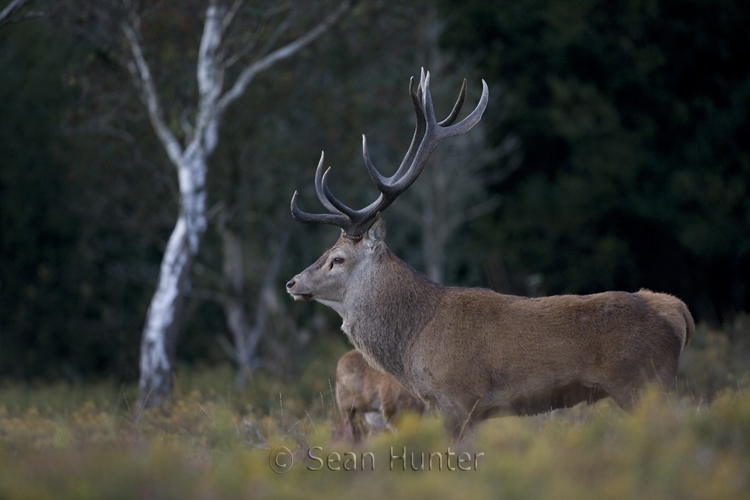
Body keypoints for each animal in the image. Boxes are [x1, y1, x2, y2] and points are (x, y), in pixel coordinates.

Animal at [285, 70, 695, 437]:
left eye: (337, 258)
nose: (292, 282)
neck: (413, 340)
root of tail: (678, 312)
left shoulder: (456, 398)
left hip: (642, 384)